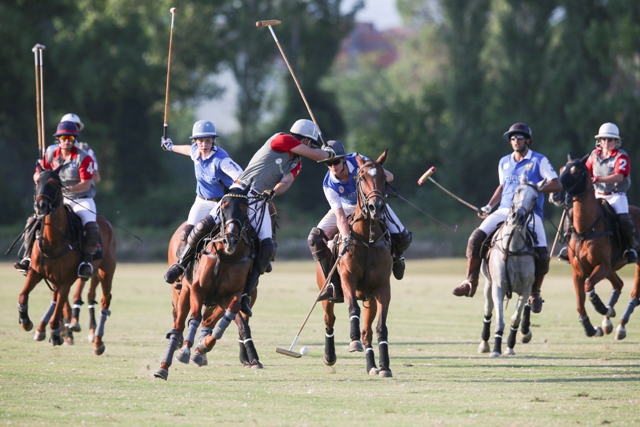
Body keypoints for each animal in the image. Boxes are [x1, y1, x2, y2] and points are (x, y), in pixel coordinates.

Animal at [16, 167, 116, 354]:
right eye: (37, 182)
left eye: (55, 184)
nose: (40, 206)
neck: (53, 240)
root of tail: (105, 222)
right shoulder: (35, 272)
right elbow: (23, 296)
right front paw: (26, 322)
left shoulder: (65, 281)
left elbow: (58, 310)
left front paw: (57, 334)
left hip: (105, 272)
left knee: (104, 301)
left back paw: (97, 342)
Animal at [155, 191, 258, 382]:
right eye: (223, 206)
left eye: (245, 208)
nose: (230, 239)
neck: (226, 256)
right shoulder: (197, 289)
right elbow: (194, 318)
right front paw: (186, 351)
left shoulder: (231, 296)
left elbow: (230, 321)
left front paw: (202, 348)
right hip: (183, 292)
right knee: (178, 325)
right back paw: (164, 366)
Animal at [316, 150, 392, 378]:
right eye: (362, 177)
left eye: (384, 178)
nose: (376, 207)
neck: (367, 239)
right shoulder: (347, 278)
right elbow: (352, 308)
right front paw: (353, 340)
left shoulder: (383, 287)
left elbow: (381, 327)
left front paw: (385, 367)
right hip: (326, 291)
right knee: (329, 320)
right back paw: (329, 356)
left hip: (370, 298)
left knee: (368, 331)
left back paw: (372, 366)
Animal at [556, 155, 640, 340]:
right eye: (561, 169)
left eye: (575, 171)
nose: (556, 194)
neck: (586, 230)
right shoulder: (578, 271)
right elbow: (579, 303)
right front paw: (590, 328)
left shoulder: (603, 265)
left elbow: (589, 287)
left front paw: (602, 308)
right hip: (611, 267)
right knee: (619, 284)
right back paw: (607, 322)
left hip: (635, 264)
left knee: (634, 293)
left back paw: (620, 326)